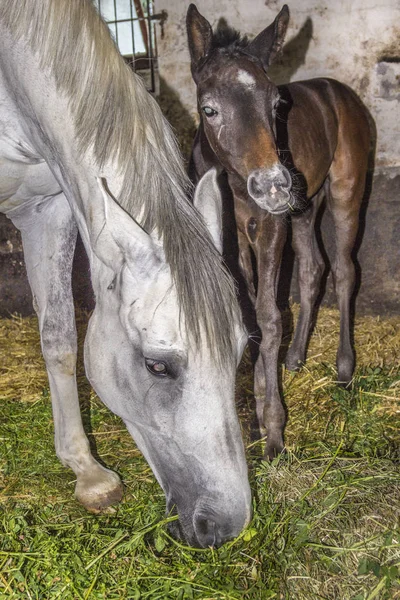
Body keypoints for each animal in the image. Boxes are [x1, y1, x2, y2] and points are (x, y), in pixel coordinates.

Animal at [0, 0, 250, 548]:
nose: (224, 526)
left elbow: (58, 337)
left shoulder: (46, 207)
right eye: (157, 365)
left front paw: (86, 472)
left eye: (241, 354)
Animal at [188, 4, 372, 460]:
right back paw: (295, 356)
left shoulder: (270, 228)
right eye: (209, 109)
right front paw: (253, 413)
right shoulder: (231, 239)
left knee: (344, 270)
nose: (273, 185)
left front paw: (272, 429)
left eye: (275, 105)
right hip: (305, 207)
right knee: (312, 268)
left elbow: (269, 317)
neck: (235, 185)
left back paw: (344, 369)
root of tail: (336, 90)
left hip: (344, 190)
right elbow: (247, 312)